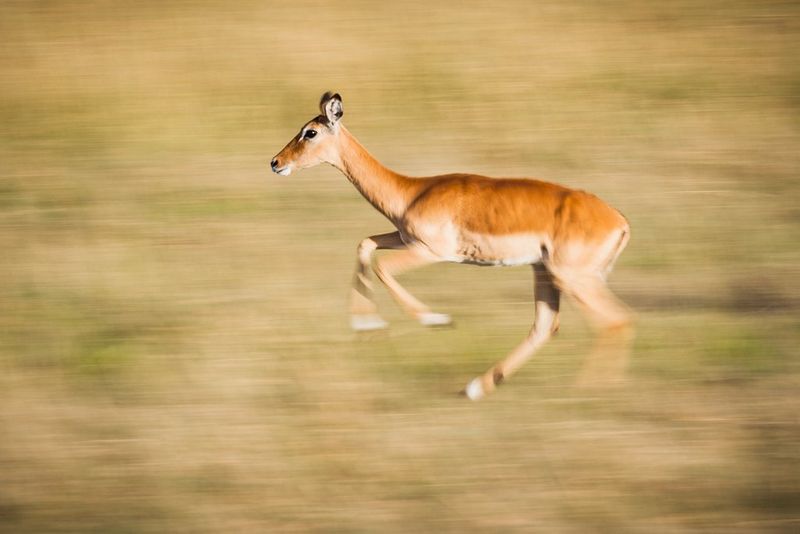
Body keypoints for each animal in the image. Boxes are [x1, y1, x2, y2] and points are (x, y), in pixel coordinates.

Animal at [270, 92, 633, 400]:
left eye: (310, 132)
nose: (275, 162)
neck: (412, 192)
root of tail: (619, 221)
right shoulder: (404, 239)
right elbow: (365, 245)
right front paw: (368, 326)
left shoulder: (432, 251)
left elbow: (382, 266)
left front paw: (437, 320)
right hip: (545, 271)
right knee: (547, 327)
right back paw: (475, 388)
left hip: (572, 277)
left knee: (616, 320)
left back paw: (589, 392)